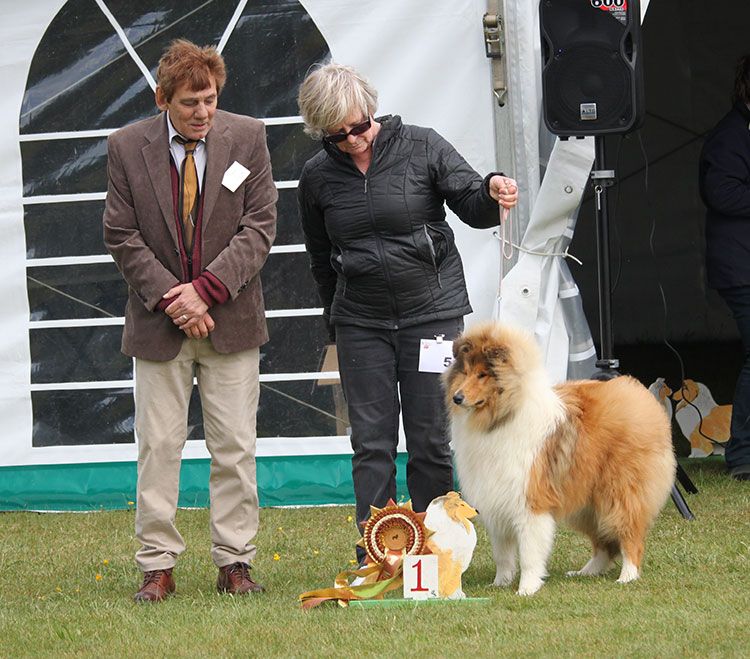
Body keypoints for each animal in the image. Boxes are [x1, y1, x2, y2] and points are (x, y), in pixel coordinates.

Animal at [444, 324, 680, 600]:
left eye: (483, 375)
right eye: (465, 372)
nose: (457, 398)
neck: (501, 418)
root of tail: (638, 393)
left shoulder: (530, 503)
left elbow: (529, 554)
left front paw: (526, 588)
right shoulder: (497, 502)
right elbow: (502, 554)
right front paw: (499, 584)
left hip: (620, 495)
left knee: (630, 535)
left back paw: (627, 576)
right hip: (587, 504)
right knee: (604, 543)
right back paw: (585, 572)